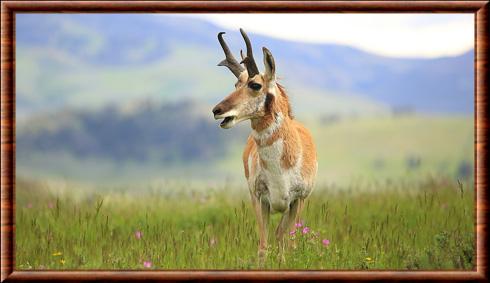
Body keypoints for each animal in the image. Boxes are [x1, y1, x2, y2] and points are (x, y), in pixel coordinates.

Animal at [212, 28, 320, 260]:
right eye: (236, 84)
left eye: (255, 84)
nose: (217, 110)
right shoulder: (260, 199)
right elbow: (263, 246)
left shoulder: (297, 200)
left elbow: (287, 241)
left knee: (284, 238)